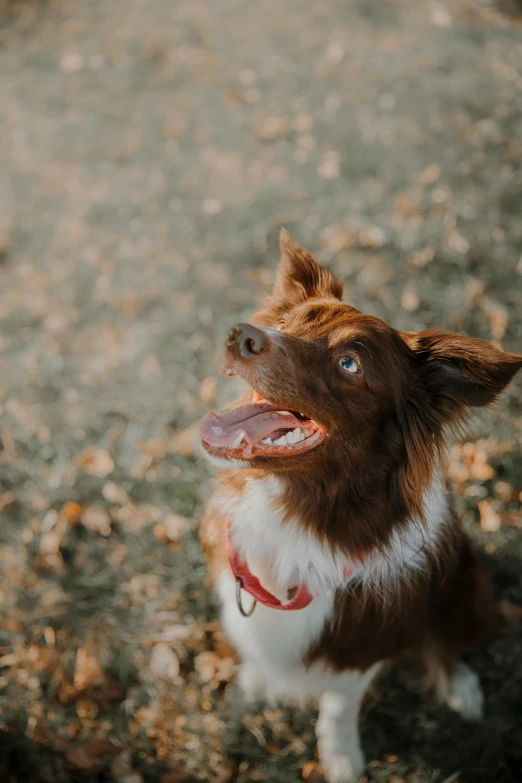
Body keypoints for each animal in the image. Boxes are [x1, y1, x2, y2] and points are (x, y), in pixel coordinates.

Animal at [197, 231, 516, 783]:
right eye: (286, 323)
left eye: (350, 364)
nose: (241, 335)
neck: (301, 512)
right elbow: (259, 657)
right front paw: (251, 689)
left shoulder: (361, 642)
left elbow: (338, 706)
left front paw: (341, 756)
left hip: (466, 582)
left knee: (448, 641)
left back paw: (461, 688)